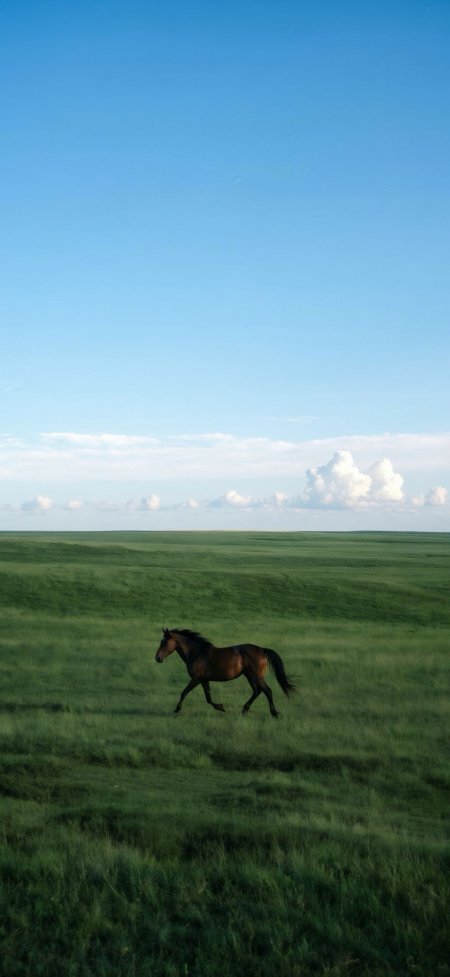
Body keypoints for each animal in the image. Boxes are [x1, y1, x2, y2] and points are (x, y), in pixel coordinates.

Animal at [155, 628, 295, 717]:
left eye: (164, 642)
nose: (157, 658)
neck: (197, 653)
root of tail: (262, 650)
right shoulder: (204, 680)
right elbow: (208, 698)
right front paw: (221, 707)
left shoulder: (196, 679)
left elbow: (184, 692)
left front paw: (177, 710)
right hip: (249, 676)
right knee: (257, 691)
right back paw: (244, 710)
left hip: (256, 676)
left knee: (267, 691)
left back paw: (274, 713)